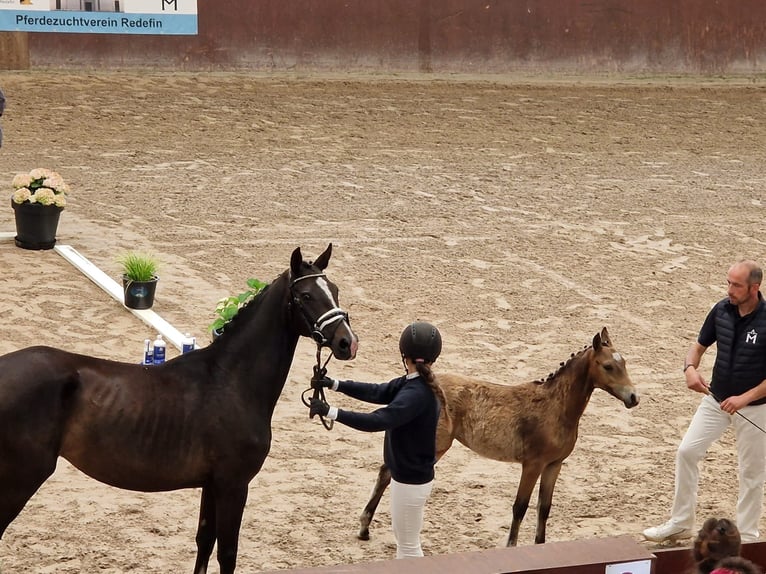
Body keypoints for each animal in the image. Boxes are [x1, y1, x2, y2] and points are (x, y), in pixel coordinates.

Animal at [0, 243, 358, 574]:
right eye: (307, 295)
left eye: (335, 290)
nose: (347, 343)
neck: (230, 379)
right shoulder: (234, 485)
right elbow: (227, 553)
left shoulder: (212, 485)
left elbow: (205, 541)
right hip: (21, 478)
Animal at [357, 327, 639, 547]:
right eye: (608, 366)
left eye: (624, 363)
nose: (634, 397)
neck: (554, 406)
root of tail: (414, 383)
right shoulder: (532, 465)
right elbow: (520, 507)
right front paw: (511, 546)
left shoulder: (554, 465)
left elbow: (544, 508)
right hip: (433, 448)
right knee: (386, 474)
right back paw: (364, 528)